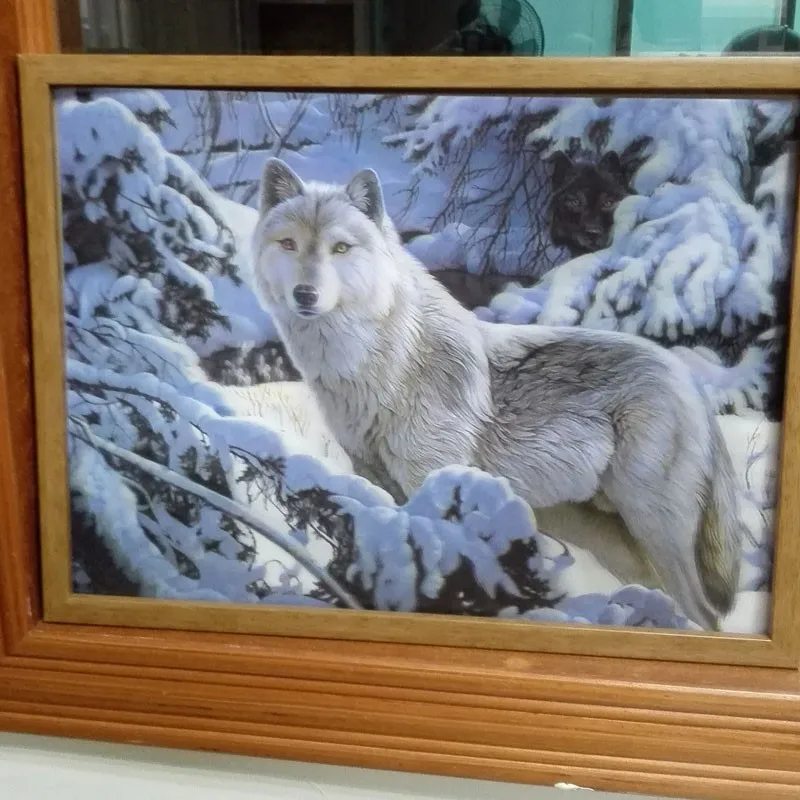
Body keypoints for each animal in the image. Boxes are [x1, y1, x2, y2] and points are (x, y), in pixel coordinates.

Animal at [250, 157, 744, 630]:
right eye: (289, 244)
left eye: (340, 248)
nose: (305, 294)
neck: (381, 364)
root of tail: (687, 379)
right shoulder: (372, 476)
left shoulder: (433, 478)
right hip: (615, 542)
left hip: (657, 531)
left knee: (709, 615)